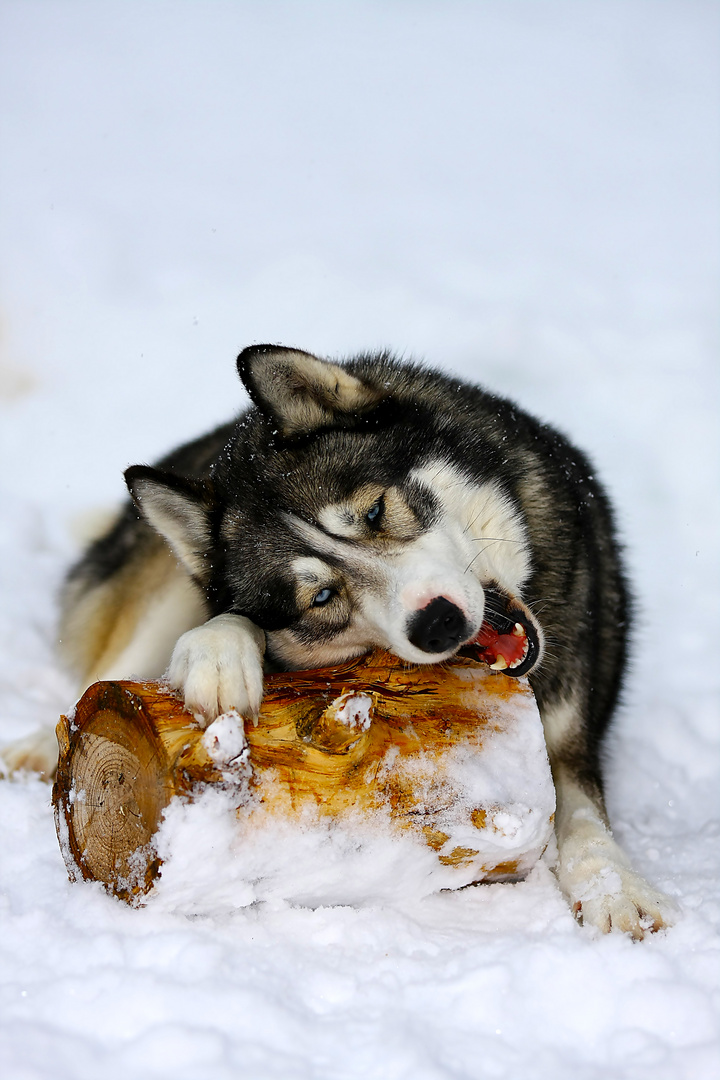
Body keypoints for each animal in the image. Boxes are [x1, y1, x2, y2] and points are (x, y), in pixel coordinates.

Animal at [7, 345, 669, 937]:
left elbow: (583, 816)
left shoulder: (569, 735)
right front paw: (219, 654)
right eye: (321, 597)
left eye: (374, 512)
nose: (438, 622)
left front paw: (616, 889)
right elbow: (227, 624)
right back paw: (42, 744)